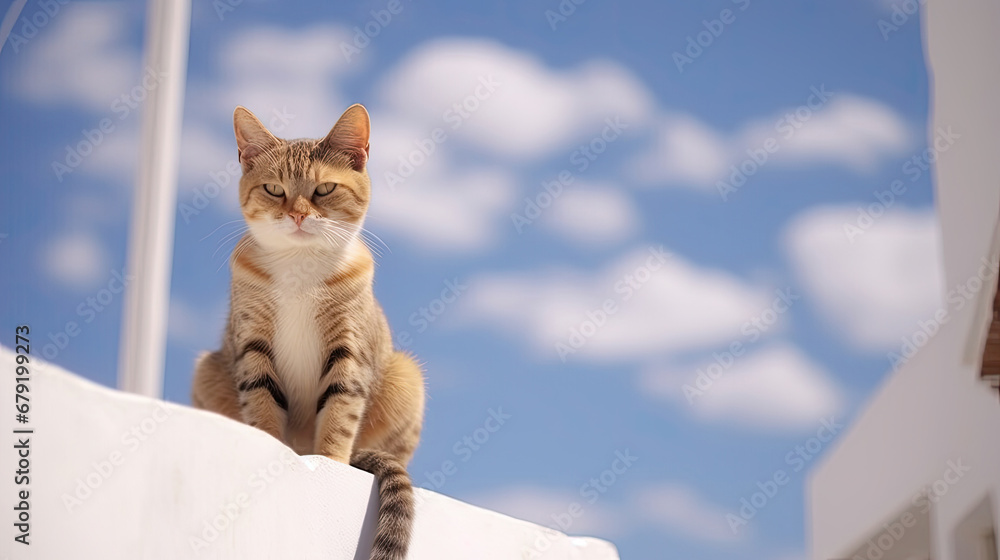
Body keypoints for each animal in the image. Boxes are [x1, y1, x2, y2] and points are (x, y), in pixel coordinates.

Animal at [192, 101, 426, 560]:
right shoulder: (251, 343)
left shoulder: (349, 347)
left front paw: (332, 465)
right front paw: (268, 443)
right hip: (207, 368)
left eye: (324, 189)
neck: (299, 266)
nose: (298, 214)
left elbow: (340, 410)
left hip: (406, 378)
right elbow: (262, 402)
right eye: (274, 189)